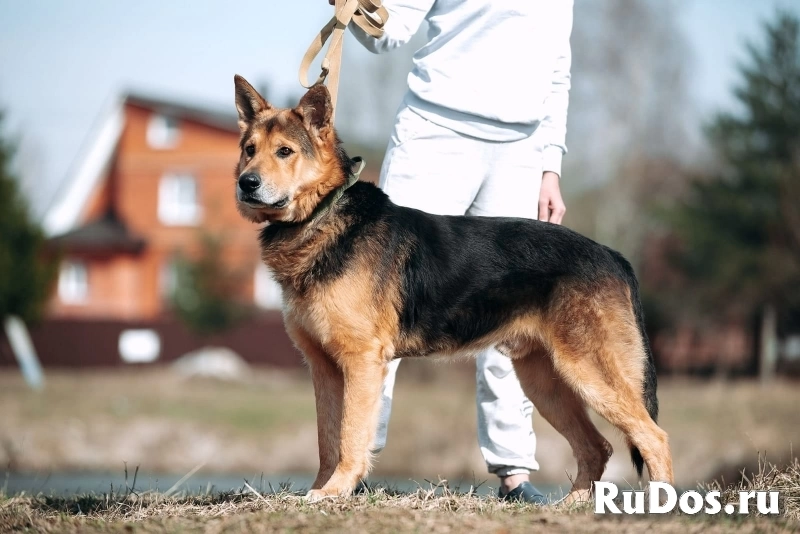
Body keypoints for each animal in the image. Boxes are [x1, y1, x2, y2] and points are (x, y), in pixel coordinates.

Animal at [233, 73, 676, 504]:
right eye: (250, 150)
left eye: (285, 152)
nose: (245, 184)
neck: (322, 212)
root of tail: (612, 255)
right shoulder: (324, 368)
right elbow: (327, 439)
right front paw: (324, 489)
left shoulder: (360, 364)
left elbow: (350, 436)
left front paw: (335, 491)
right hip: (546, 382)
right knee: (597, 447)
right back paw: (571, 506)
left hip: (589, 373)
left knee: (653, 436)